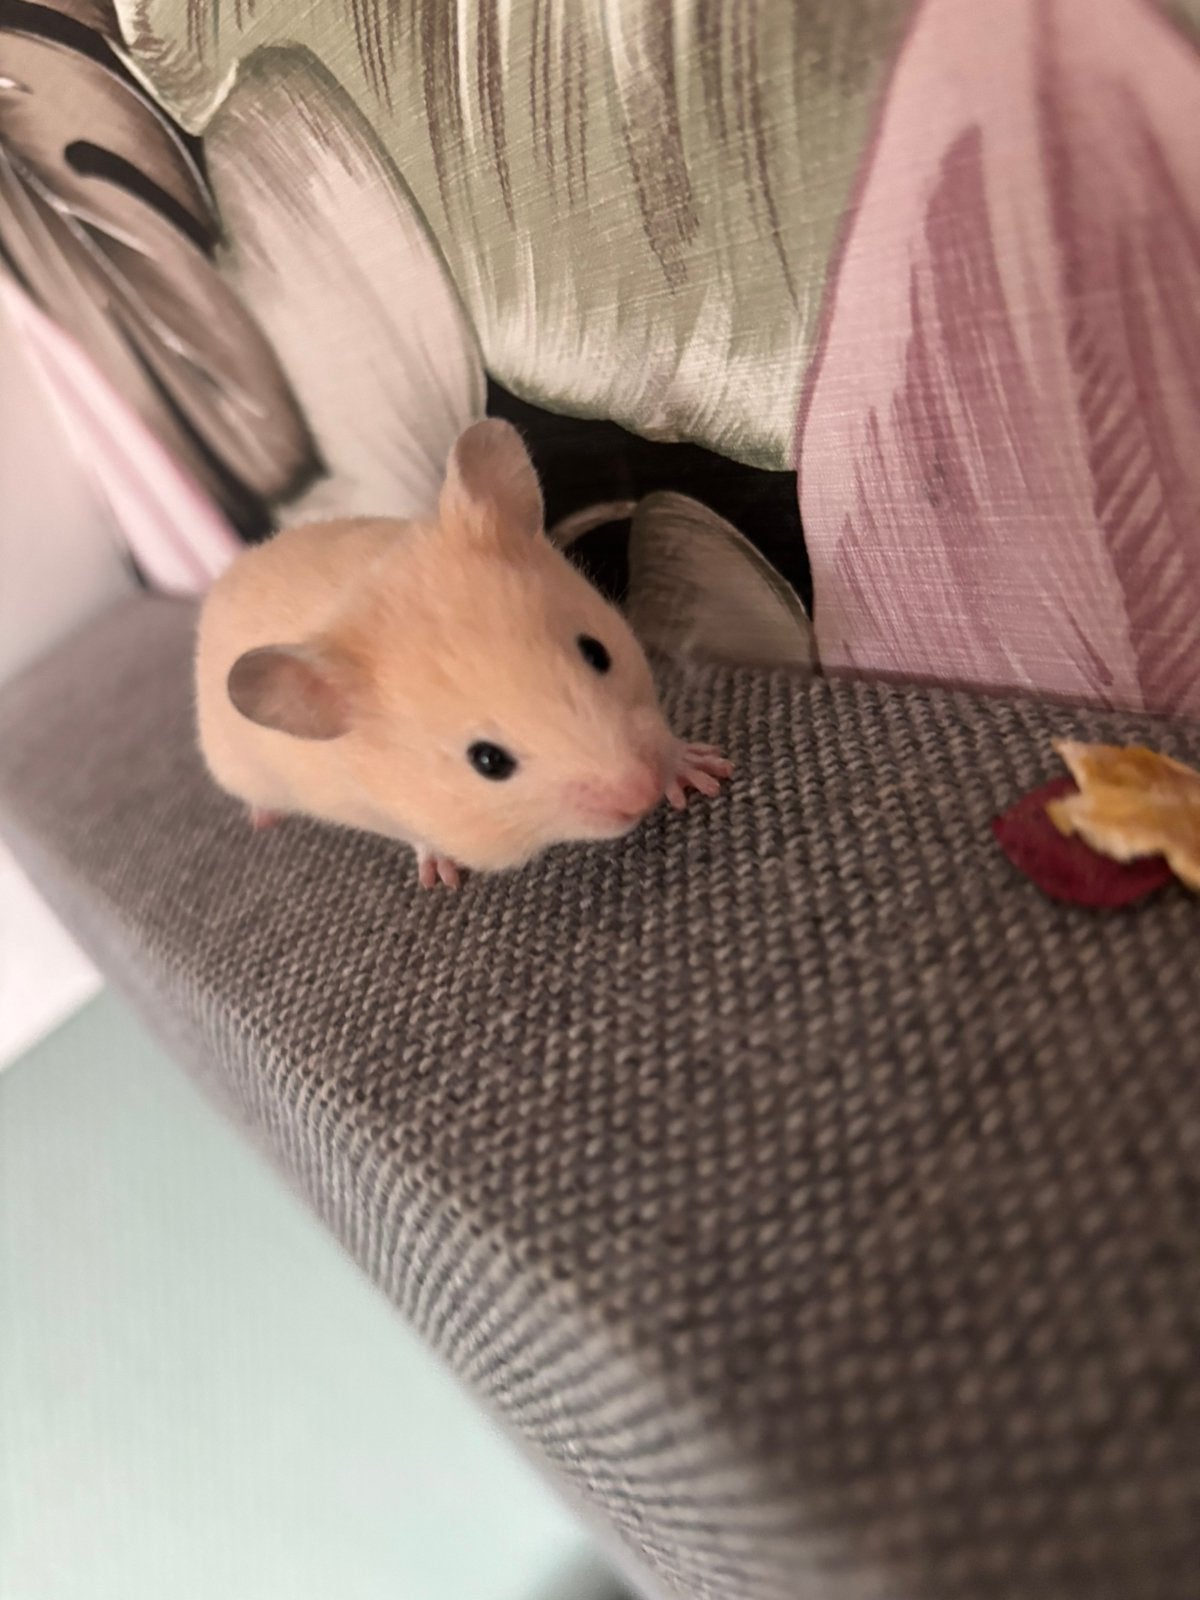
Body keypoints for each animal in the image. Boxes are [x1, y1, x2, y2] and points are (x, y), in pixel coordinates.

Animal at [195, 419, 731, 889]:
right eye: (488, 761)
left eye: (598, 653)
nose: (641, 793)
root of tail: (226, 579)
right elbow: (422, 839)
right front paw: (444, 879)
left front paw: (704, 772)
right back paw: (263, 820)